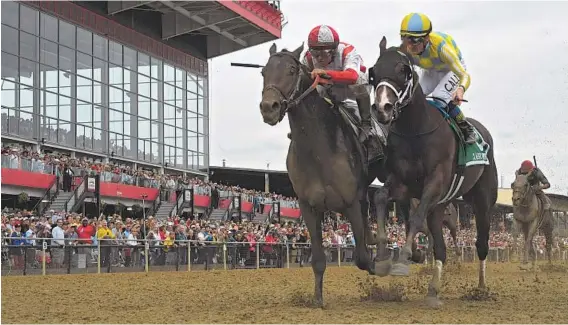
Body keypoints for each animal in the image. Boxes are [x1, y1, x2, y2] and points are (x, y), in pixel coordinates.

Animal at [260, 43, 388, 306]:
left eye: (291, 70)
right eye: (263, 71)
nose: (269, 107)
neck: (318, 151)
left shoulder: (350, 202)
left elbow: (362, 258)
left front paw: (377, 265)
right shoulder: (309, 206)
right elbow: (318, 259)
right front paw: (317, 299)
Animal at [368, 36, 496, 306]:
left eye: (403, 70)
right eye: (374, 72)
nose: (383, 108)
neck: (415, 129)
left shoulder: (434, 183)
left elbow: (416, 218)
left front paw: (403, 260)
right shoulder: (401, 182)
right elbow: (381, 197)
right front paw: (383, 258)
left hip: (482, 200)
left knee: (481, 242)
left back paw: (481, 288)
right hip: (440, 207)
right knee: (441, 248)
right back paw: (433, 290)